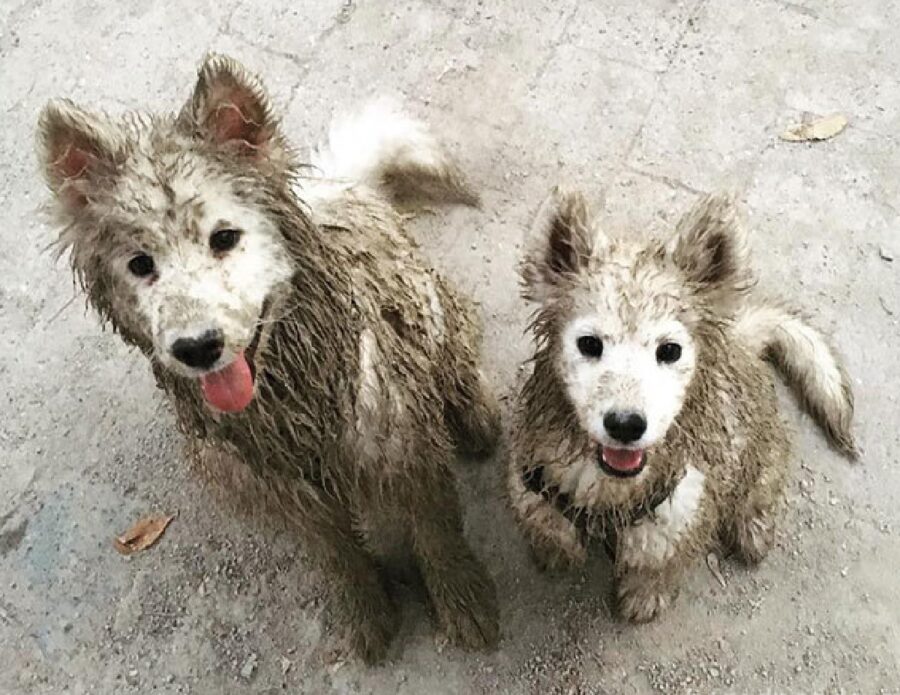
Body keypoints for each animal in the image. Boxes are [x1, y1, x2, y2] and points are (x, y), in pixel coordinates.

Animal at [38, 53, 502, 664]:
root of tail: (343, 183)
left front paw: (463, 601)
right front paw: (367, 613)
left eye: (224, 237)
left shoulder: (406, 451)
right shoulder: (286, 496)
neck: (292, 407)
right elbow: (338, 557)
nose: (198, 347)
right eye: (140, 263)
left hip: (436, 314)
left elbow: (437, 535)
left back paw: (477, 417)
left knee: (460, 361)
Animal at [506, 188, 856, 624]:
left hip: (764, 455)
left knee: (761, 491)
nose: (625, 424)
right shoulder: (532, 486)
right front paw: (555, 553)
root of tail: (743, 342)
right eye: (588, 343)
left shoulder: (679, 515)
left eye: (669, 350)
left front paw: (644, 597)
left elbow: (657, 567)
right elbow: (550, 528)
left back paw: (753, 528)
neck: (610, 492)